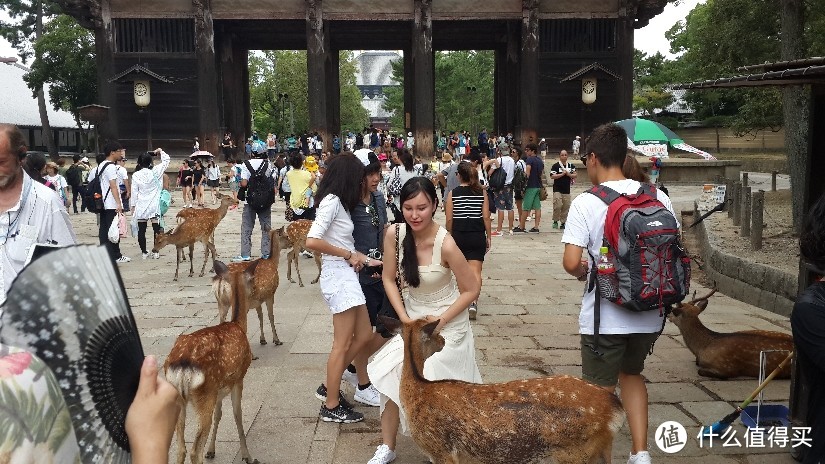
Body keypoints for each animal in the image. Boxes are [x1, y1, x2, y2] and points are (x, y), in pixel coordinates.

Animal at [164, 260, 258, 464]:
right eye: (251, 280)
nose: (255, 291)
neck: (239, 325)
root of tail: (182, 366)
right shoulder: (239, 378)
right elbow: (237, 415)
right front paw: (247, 456)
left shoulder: (219, 389)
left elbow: (219, 414)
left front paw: (212, 450)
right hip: (204, 394)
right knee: (194, 451)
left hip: (178, 396)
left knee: (180, 448)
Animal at [380, 318, 624, 464]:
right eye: (435, 332)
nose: (443, 340)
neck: (419, 392)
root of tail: (616, 408)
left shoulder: (442, 451)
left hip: (575, 452)